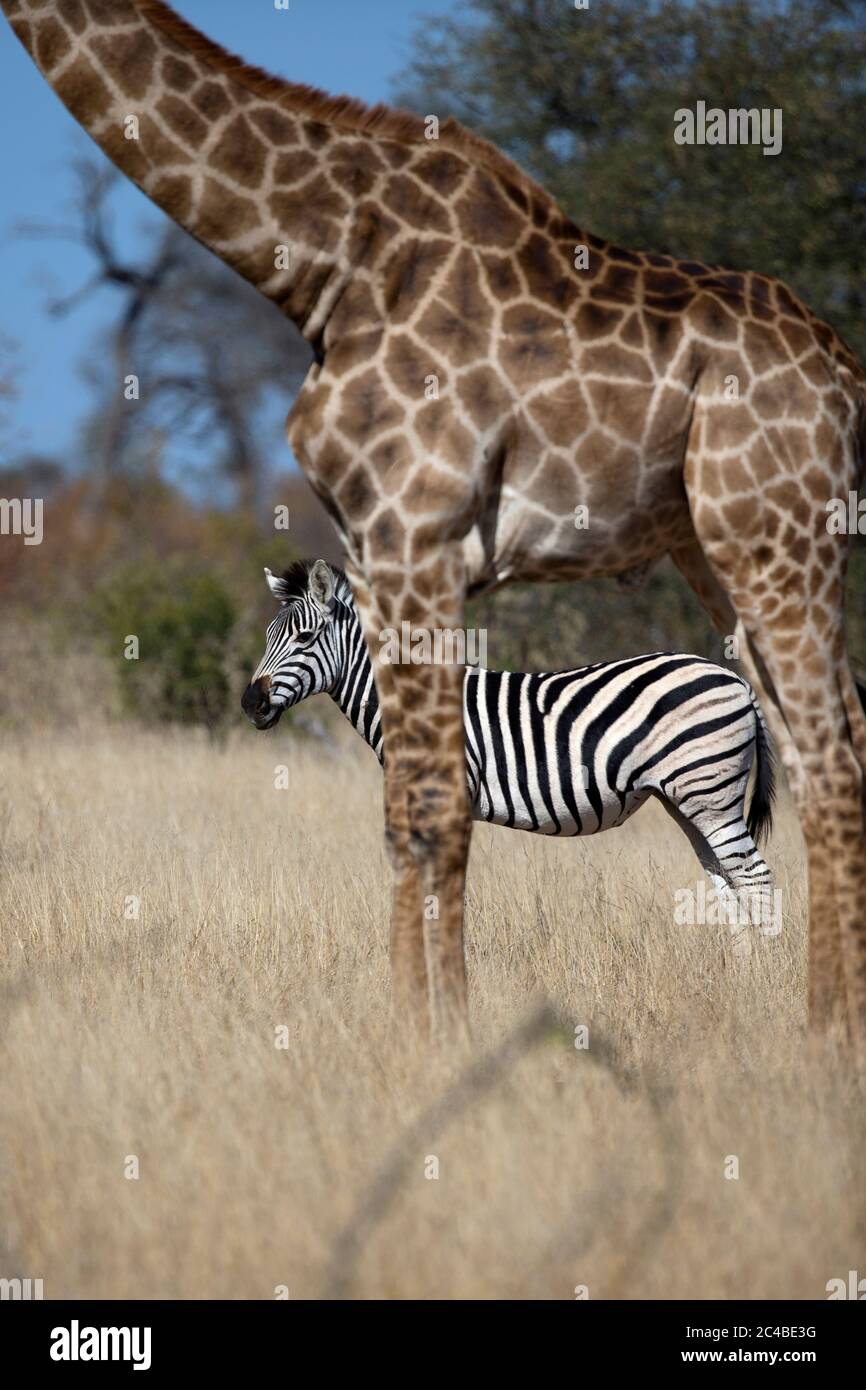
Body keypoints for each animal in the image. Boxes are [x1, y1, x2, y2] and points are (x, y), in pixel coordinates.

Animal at [241, 558, 778, 950]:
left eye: (304, 638)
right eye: (266, 638)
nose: (250, 704)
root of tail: (737, 680)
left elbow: (443, 895)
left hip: (710, 793)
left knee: (755, 879)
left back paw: (766, 982)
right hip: (688, 800)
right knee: (727, 883)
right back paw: (739, 974)